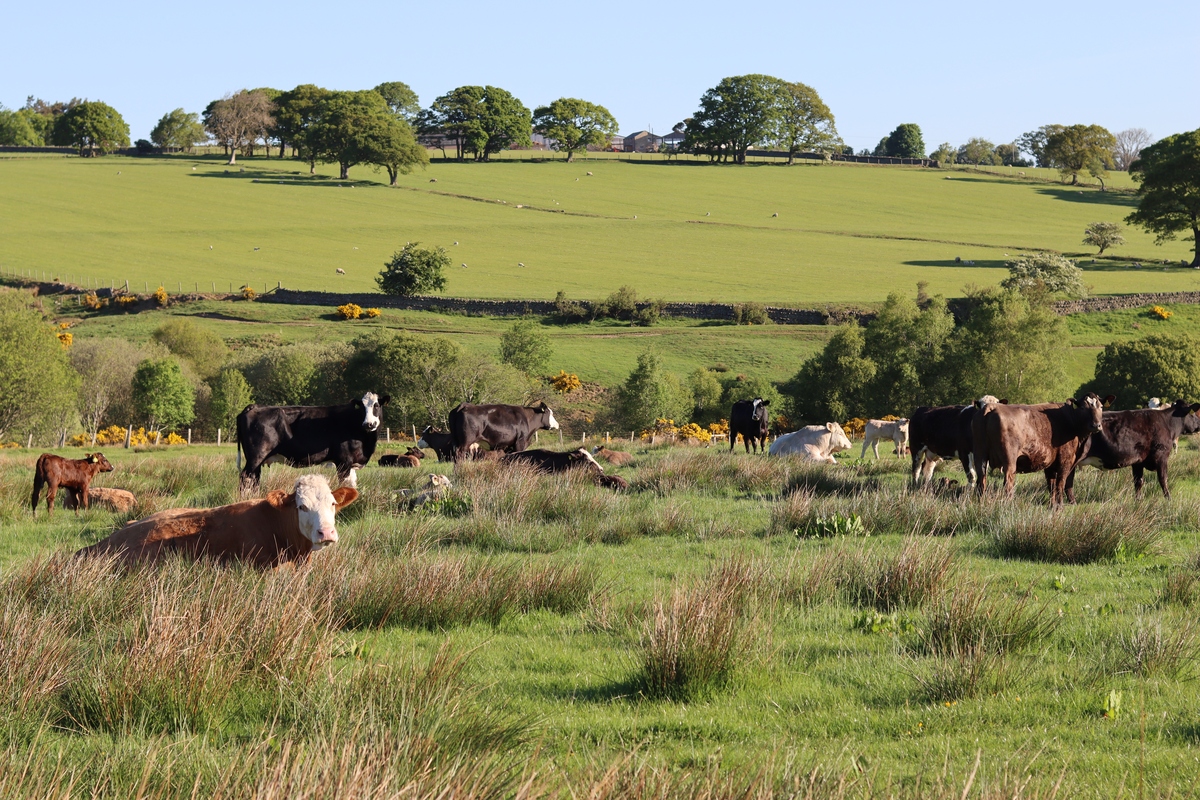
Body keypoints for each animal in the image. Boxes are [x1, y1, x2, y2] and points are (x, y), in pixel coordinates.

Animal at [236, 392, 389, 491]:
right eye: (362, 407)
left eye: (376, 405)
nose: (369, 424)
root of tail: (255, 406)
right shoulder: (343, 461)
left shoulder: (351, 463)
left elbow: (352, 485)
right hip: (256, 456)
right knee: (246, 477)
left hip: (256, 461)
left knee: (254, 479)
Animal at [972, 393, 1112, 505]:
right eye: (1083, 407)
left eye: (1101, 407)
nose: (1096, 425)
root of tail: (991, 407)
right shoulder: (1065, 461)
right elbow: (1060, 484)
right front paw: (1060, 507)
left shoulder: (1049, 464)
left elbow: (1051, 486)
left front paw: (1053, 506)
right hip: (1009, 461)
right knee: (1008, 484)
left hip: (980, 457)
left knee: (981, 483)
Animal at [1068, 400, 1200, 500]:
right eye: (1193, 414)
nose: (1199, 425)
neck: (1167, 423)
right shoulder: (1161, 456)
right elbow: (1163, 479)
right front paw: (1168, 499)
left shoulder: (1138, 461)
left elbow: (1138, 481)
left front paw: (1138, 500)